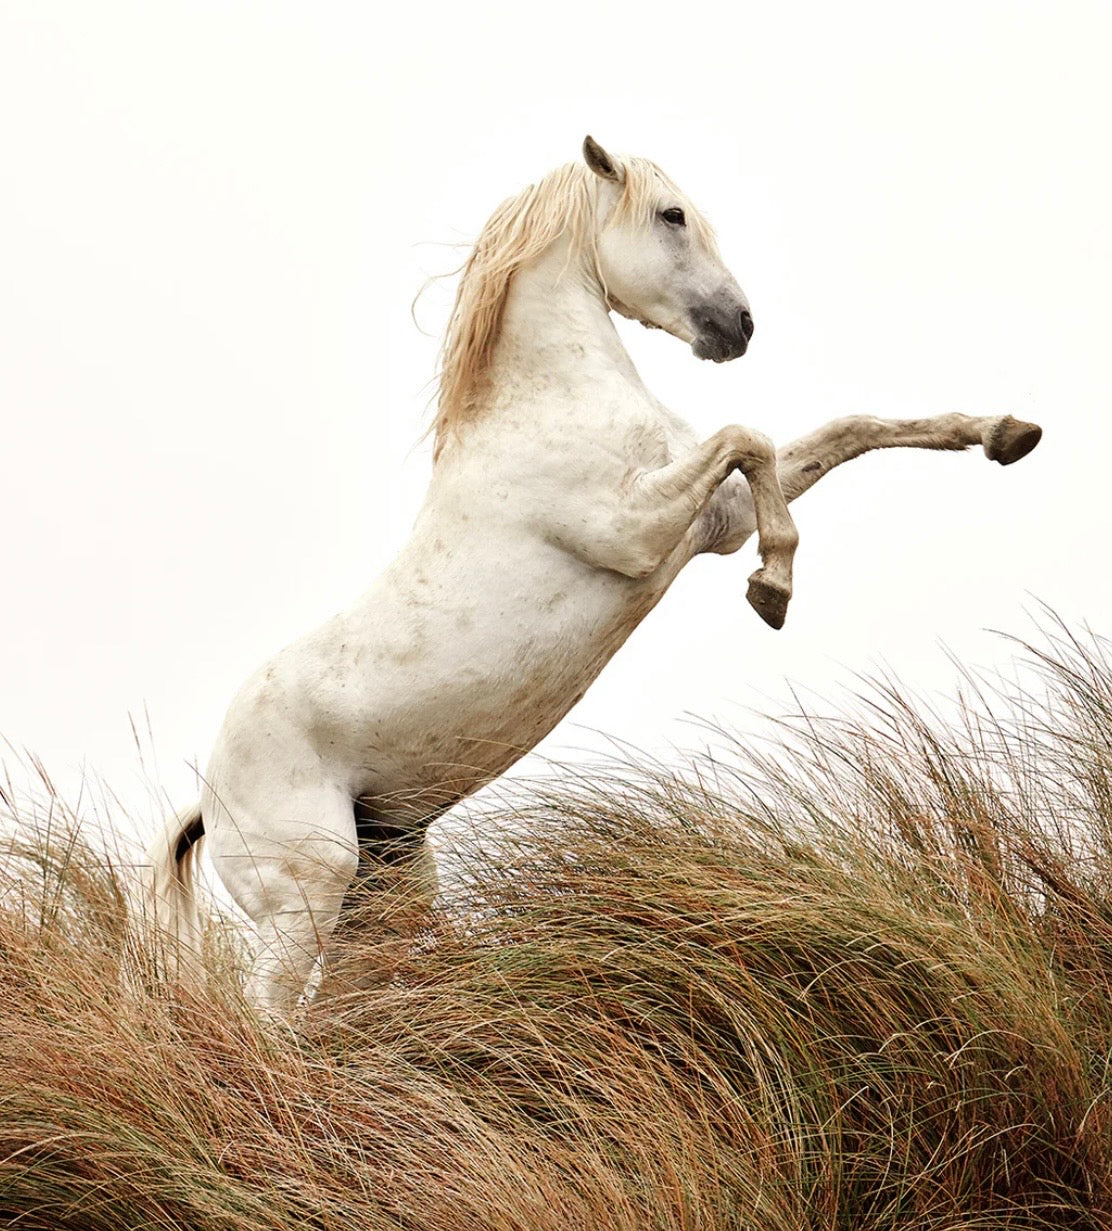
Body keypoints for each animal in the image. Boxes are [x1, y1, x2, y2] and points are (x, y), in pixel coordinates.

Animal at [141, 136, 1042, 1013]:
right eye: (672, 215)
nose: (739, 326)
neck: (550, 399)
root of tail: (209, 796)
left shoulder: (714, 520)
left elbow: (840, 431)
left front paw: (1002, 433)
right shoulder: (638, 529)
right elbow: (746, 437)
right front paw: (774, 587)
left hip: (386, 892)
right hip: (305, 901)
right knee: (269, 1020)